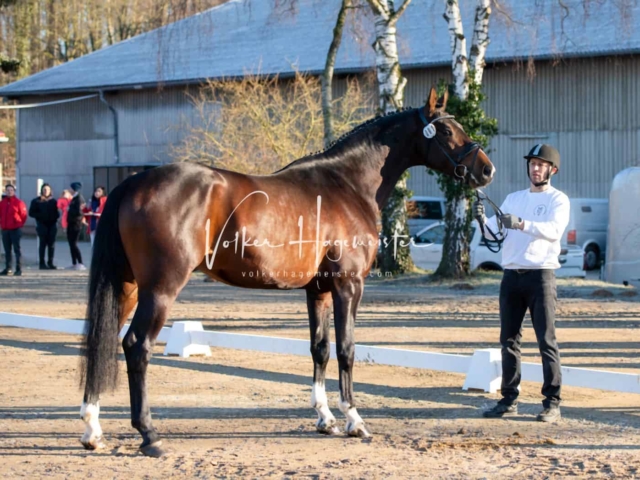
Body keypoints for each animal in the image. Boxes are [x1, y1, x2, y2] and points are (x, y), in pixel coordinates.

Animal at [77, 86, 492, 458]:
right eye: (446, 130)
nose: (486, 169)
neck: (347, 184)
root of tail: (134, 182)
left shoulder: (317, 289)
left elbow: (319, 349)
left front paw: (325, 418)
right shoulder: (348, 286)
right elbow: (346, 349)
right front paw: (354, 420)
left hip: (129, 286)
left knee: (103, 339)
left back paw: (93, 430)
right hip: (161, 288)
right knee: (136, 346)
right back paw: (149, 435)